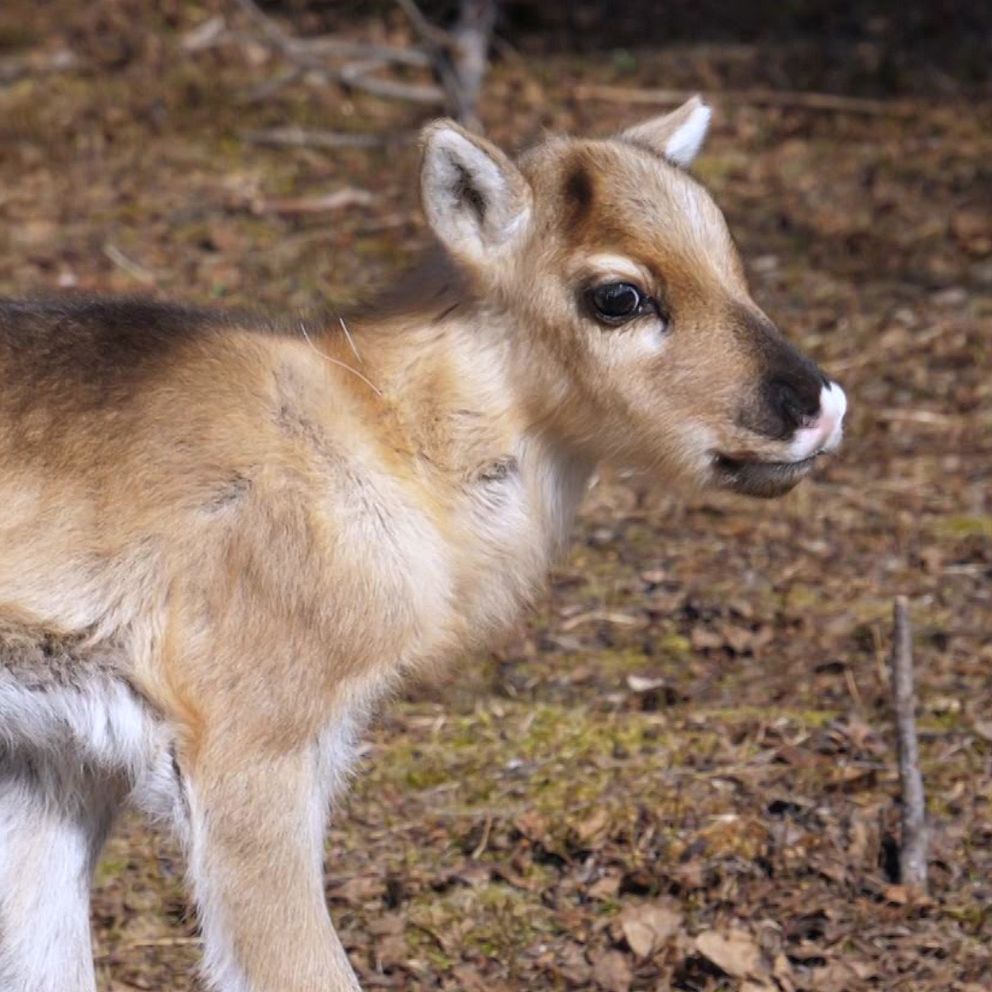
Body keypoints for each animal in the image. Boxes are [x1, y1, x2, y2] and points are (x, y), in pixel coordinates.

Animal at [0, 97, 846, 992]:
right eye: (618, 295)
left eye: (731, 261)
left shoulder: (64, 765)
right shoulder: (250, 736)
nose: (819, 406)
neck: (388, 444)